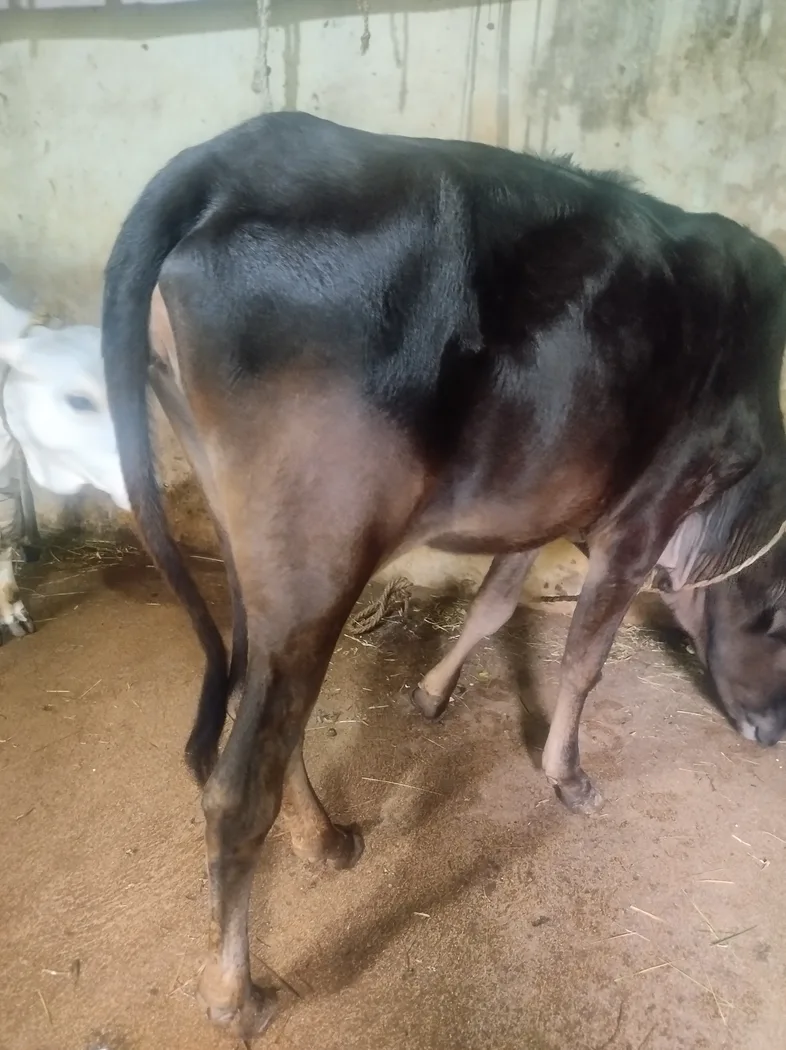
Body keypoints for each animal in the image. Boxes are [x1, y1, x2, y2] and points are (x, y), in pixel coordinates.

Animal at [101, 111, 786, 1039]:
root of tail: (230, 157)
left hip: (255, 555)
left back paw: (327, 840)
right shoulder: (641, 519)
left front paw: (431, 693)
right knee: (239, 786)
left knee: (265, 714)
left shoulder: (543, 506)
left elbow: (493, 606)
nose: (773, 731)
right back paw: (238, 997)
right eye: (779, 618)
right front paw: (568, 776)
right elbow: (585, 660)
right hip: (318, 554)